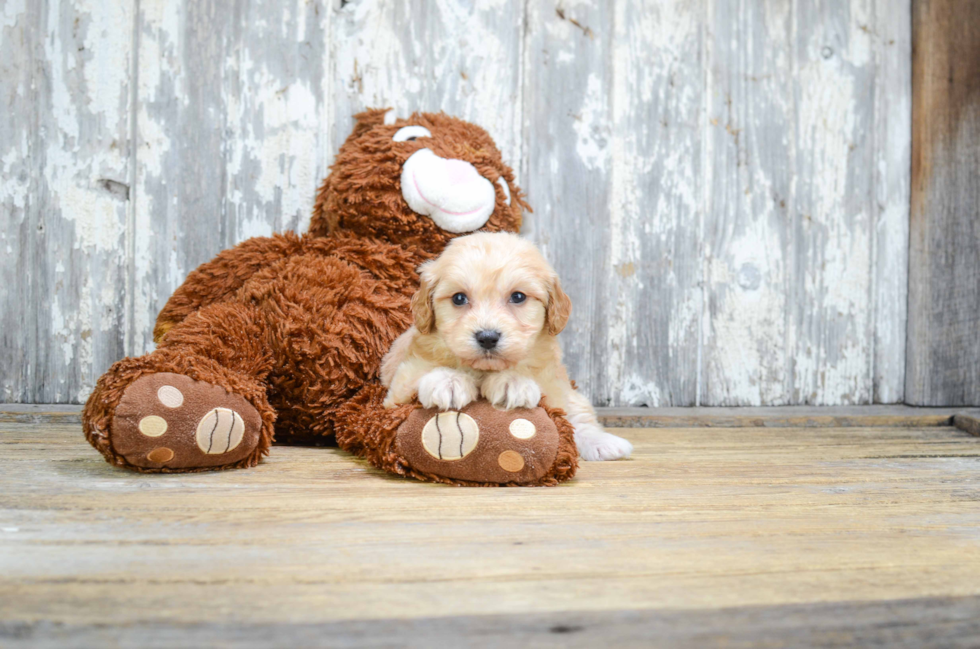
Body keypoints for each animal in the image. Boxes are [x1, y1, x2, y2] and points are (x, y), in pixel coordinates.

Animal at [378, 233, 632, 460]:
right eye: (459, 298)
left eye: (518, 297)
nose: (487, 337)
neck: (483, 370)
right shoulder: (398, 388)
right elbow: (418, 377)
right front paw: (448, 381)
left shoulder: (553, 384)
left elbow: (563, 413)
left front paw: (512, 382)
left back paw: (605, 443)